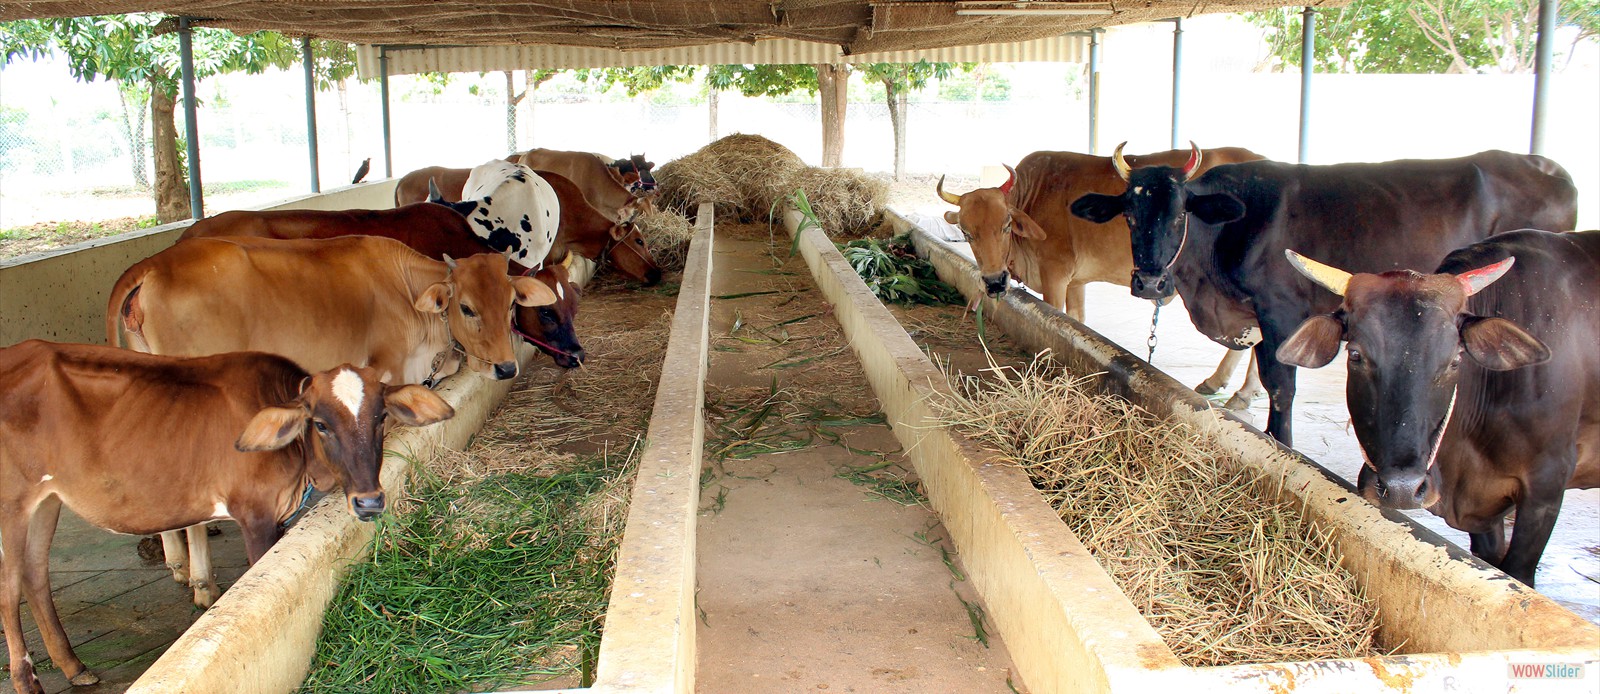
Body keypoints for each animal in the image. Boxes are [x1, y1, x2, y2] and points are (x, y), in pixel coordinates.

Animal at [1, 342, 451, 694]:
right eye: (321, 424)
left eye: (380, 417)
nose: (369, 502)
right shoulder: (255, 515)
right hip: (11, 504)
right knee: (10, 588)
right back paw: (27, 681)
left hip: (47, 500)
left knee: (36, 573)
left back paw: (74, 667)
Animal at [934, 147, 1260, 406]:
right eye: (966, 232)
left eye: (1005, 225)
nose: (994, 281)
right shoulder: (1076, 282)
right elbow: (1076, 323)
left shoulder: (1055, 275)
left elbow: (1053, 323)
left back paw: (1241, 391)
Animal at [1068, 148, 1580, 447]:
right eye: (1129, 214)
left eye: (1179, 214)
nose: (1150, 284)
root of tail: (1551, 168)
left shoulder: (1280, 310)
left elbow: (1282, 384)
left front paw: (1281, 444)